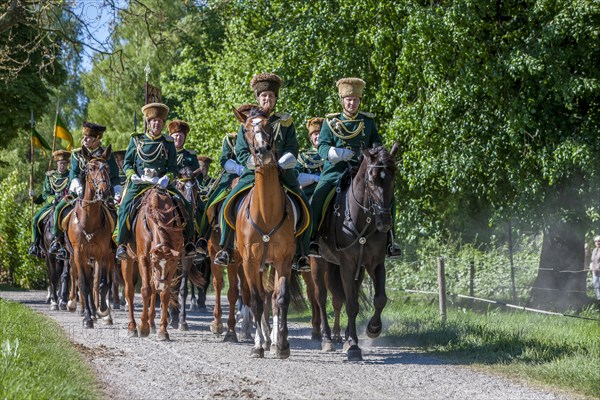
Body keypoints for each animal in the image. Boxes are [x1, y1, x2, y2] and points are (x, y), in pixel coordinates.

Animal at [65, 145, 117, 326]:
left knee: (98, 282)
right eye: (91, 168)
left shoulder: (102, 253)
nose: (104, 192)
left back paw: (97, 311)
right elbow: (84, 284)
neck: (89, 221)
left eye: (107, 168)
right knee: (82, 279)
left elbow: (100, 284)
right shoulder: (79, 253)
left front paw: (103, 311)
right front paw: (87, 317)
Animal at [233, 107, 302, 360]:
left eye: (268, 126)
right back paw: (261, 339)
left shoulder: (283, 260)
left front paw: (281, 345)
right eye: (245, 130)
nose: (262, 150)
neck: (266, 212)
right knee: (258, 297)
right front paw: (257, 346)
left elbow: (280, 299)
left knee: (270, 298)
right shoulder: (249, 262)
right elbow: (255, 300)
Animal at [318, 142, 398, 360]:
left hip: (358, 270)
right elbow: (352, 305)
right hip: (318, 262)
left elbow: (380, 299)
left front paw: (373, 329)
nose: (384, 222)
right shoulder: (346, 265)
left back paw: (344, 337)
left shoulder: (375, 263)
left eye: (393, 179)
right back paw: (327, 339)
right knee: (320, 298)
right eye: (371, 180)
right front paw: (354, 346)